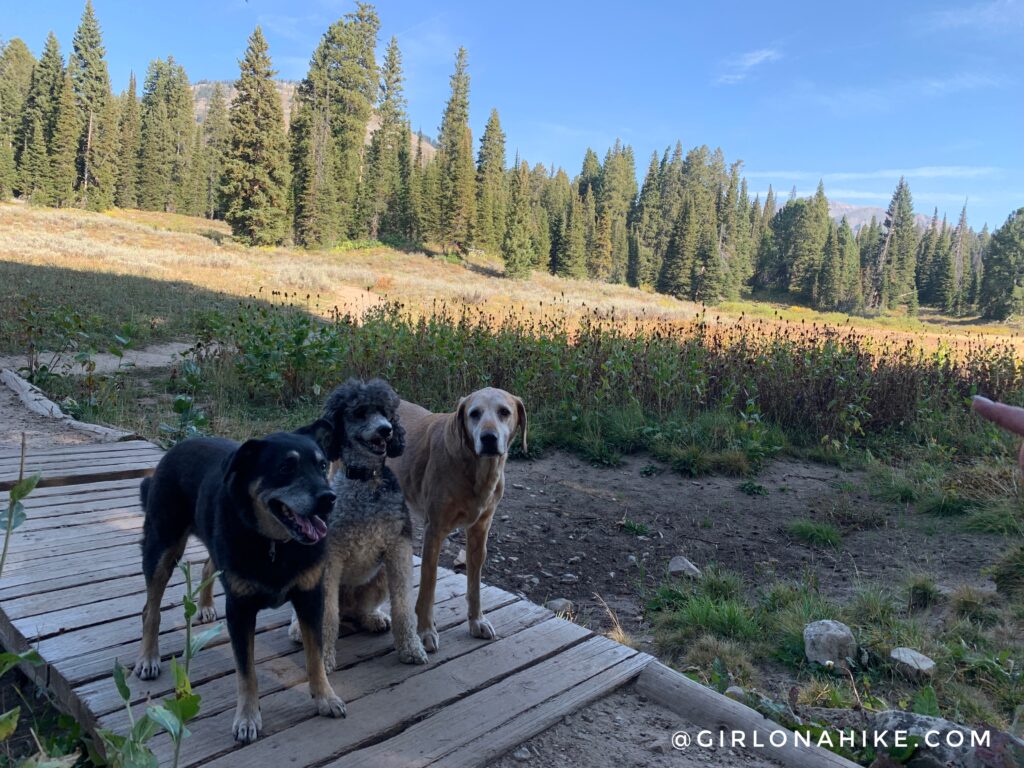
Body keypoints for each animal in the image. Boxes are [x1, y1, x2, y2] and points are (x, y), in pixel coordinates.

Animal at [133, 428, 344, 745]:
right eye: (286, 467)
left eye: (322, 466)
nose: (328, 498)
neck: (275, 545)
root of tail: (178, 446)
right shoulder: (240, 609)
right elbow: (246, 672)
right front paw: (247, 718)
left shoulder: (311, 597)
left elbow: (315, 655)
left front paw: (325, 697)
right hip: (162, 548)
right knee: (150, 608)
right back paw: (148, 657)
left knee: (207, 565)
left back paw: (205, 606)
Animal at [385, 387, 528, 651]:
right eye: (474, 413)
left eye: (504, 412)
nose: (489, 438)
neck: (477, 470)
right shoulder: (435, 531)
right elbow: (429, 584)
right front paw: (425, 630)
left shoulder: (479, 531)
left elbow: (475, 584)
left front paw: (476, 621)